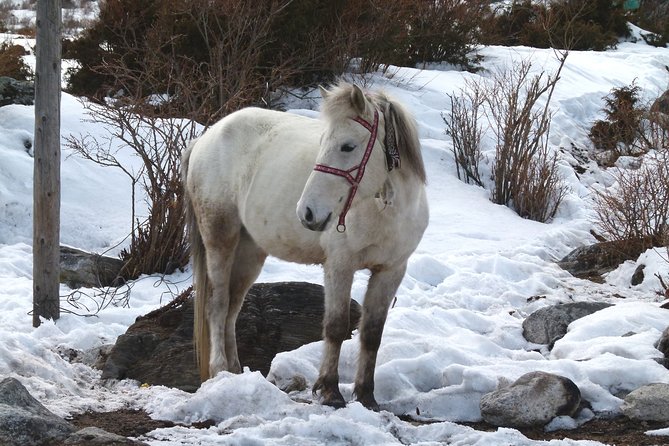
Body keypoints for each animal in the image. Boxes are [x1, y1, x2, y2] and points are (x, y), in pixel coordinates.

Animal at [180, 82, 428, 410]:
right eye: (322, 142)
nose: (307, 212)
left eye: (347, 146)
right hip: (220, 238)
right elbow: (336, 326)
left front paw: (366, 396)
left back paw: (234, 372)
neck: (384, 209)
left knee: (233, 307)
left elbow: (372, 334)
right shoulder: (340, 265)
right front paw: (330, 391)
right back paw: (219, 370)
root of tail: (206, 137)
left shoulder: (391, 271)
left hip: (250, 252)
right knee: (218, 305)